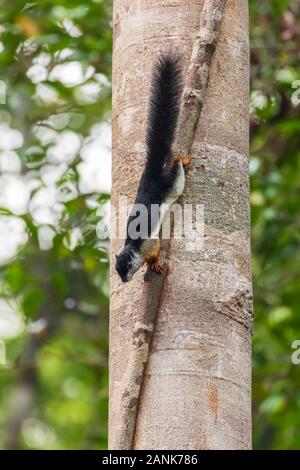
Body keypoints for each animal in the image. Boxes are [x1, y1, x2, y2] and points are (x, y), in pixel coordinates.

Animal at [115, 55, 192, 282]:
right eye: (117, 270)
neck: (133, 248)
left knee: (177, 175)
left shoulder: (149, 244)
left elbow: (155, 250)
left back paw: (182, 160)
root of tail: (152, 172)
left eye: (127, 266)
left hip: (172, 185)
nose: (124, 280)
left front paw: (155, 263)